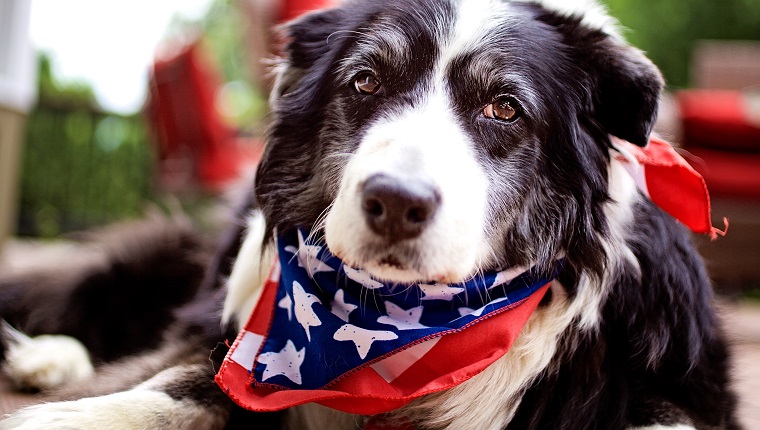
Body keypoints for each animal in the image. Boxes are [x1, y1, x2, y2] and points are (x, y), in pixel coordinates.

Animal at [0, 0, 744, 428]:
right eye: (365, 81)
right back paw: (45, 356)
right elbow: (168, 387)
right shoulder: (232, 345)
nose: (395, 203)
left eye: (504, 107)